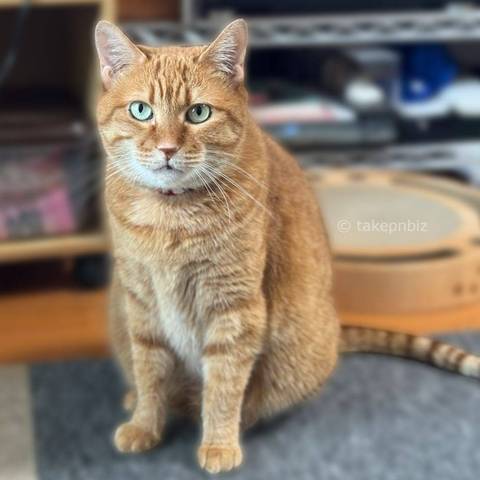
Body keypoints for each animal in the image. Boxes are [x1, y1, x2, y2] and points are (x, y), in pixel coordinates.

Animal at [95, 19, 480, 474]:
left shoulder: (234, 307)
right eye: (141, 110)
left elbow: (223, 384)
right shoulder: (141, 304)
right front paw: (144, 425)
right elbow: (150, 373)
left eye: (198, 113)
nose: (168, 149)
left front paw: (219, 443)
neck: (169, 215)